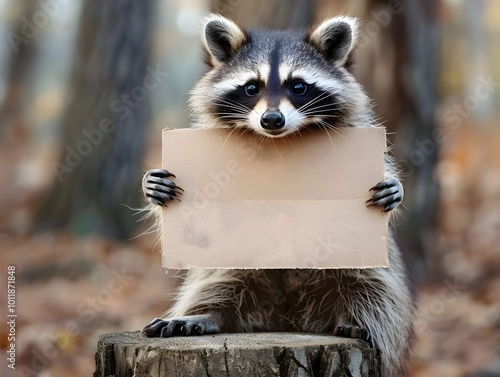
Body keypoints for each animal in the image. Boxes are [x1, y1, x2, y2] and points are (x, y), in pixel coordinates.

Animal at [140, 14, 414, 376]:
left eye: (297, 86)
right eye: (251, 87)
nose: (272, 119)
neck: (280, 143)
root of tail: (289, 319)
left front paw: (394, 186)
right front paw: (154, 189)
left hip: (365, 269)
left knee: (373, 288)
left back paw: (352, 317)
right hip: (240, 271)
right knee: (216, 282)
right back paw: (205, 314)